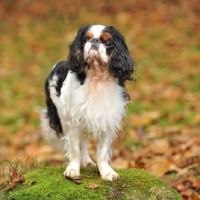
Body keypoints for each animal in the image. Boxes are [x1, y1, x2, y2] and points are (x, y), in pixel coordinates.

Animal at [40, 24, 134, 180]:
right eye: (85, 40)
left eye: (108, 42)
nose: (94, 41)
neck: (97, 76)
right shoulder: (74, 120)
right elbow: (75, 148)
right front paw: (73, 169)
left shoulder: (107, 120)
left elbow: (102, 152)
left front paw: (106, 172)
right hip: (63, 118)